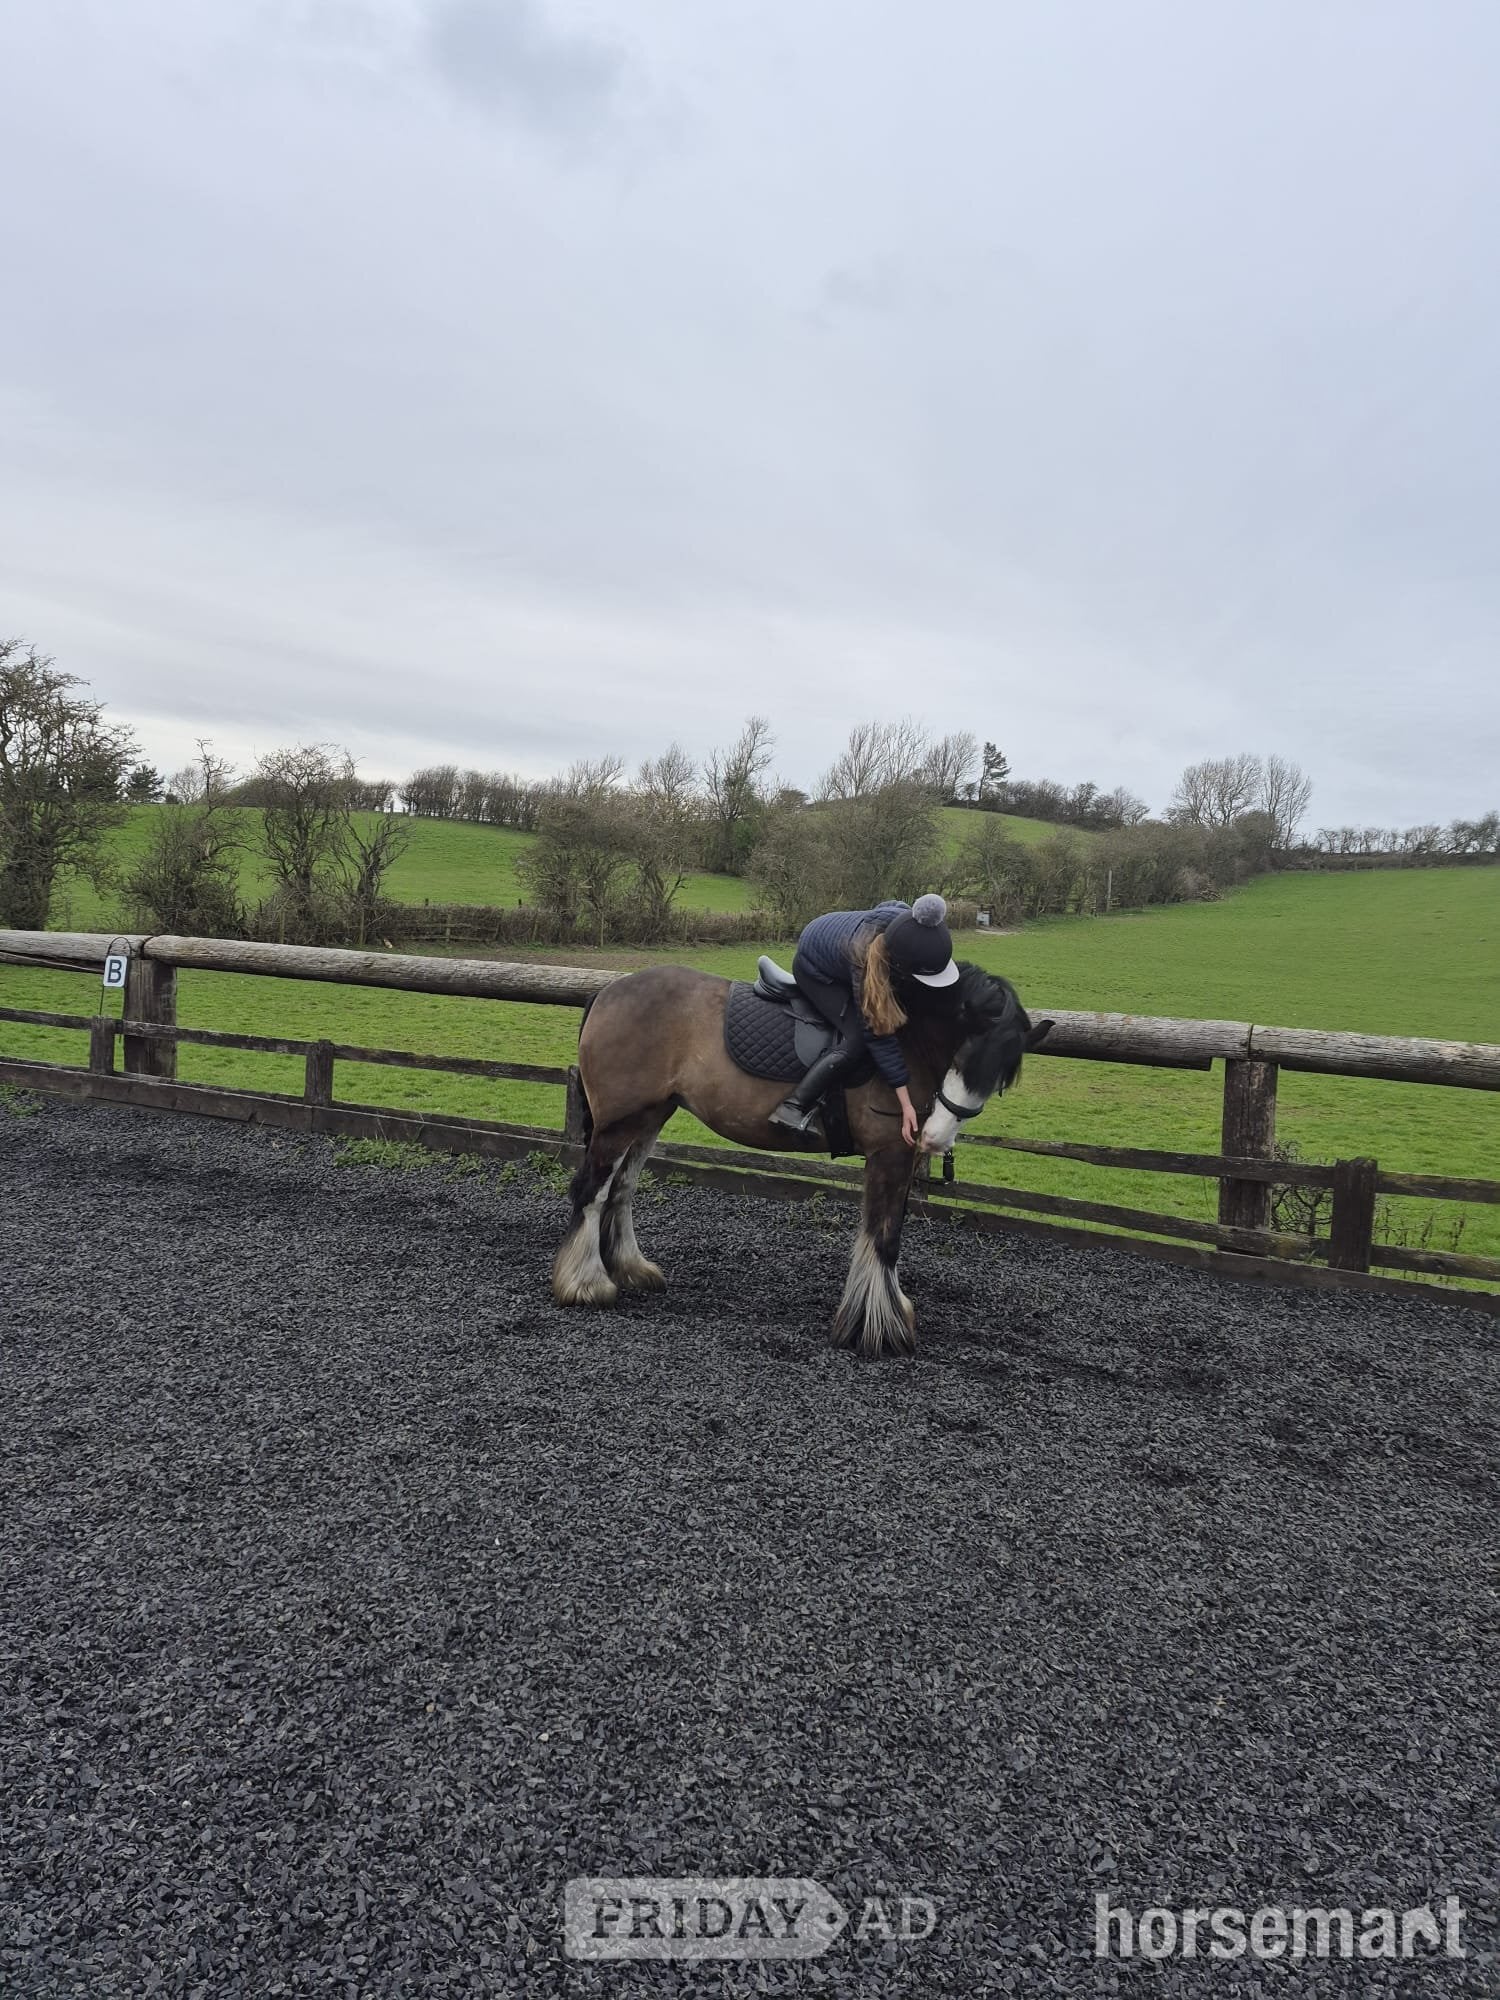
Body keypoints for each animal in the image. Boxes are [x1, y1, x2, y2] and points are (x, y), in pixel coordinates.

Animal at [550, 958, 1050, 1356]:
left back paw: (630, 1268)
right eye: (965, 1055)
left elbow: (883, 1234)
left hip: (650, 1116)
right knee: (592, 1192)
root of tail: (609, 991)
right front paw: (879, 1330)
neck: (906, 1041)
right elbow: (884, 1238)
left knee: (622, 1190)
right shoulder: (889, 1154)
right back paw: (586, 1284)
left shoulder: (902, 1158)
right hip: (619, 1123)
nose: (937, 1138)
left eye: (1002, 1077)